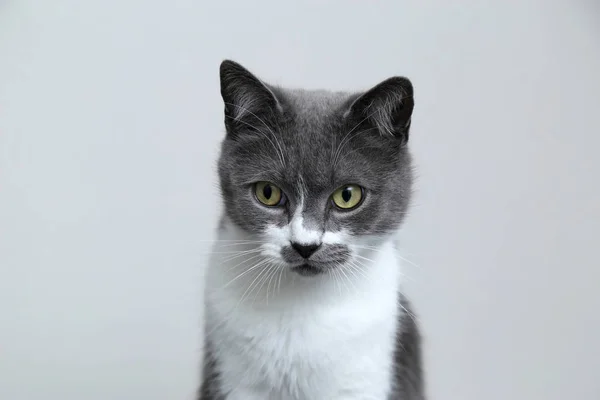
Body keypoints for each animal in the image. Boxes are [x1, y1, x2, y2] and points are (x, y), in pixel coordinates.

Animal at [199, 60, 424, 400]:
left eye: (348, 195)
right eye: (268, 192)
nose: (305, 246)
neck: (302, 304)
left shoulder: (362, 378)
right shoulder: (236, 378)